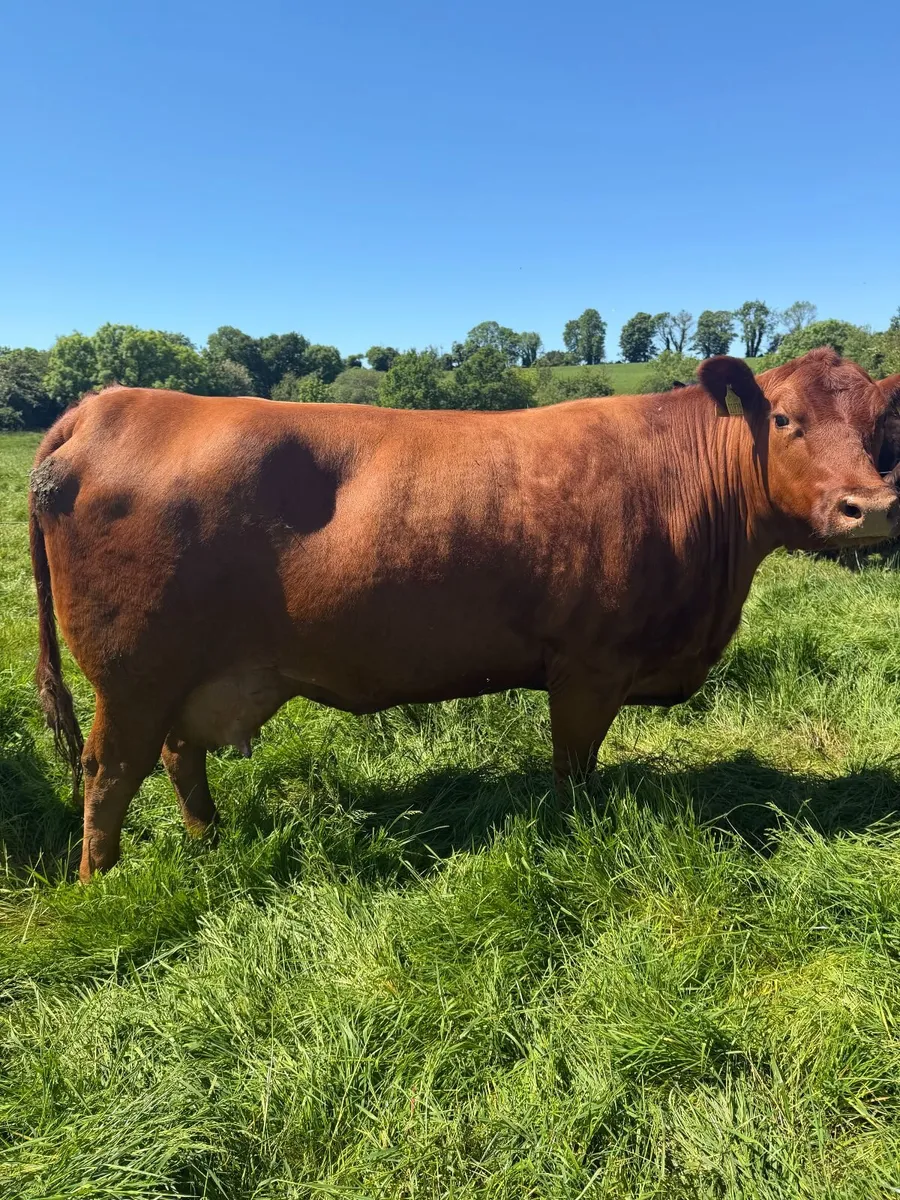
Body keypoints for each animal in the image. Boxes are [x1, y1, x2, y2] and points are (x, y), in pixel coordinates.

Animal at [29, 349, 899, 882]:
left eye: (877, 427)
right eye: (782, 419)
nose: (873, 509)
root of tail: (106, 404)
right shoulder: (588, 666)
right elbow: (574, 768)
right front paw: (574, 832)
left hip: (189, 674)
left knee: (179, 756)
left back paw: (209, 838)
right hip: (133, 675)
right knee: (110, 772)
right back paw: (101, 883)